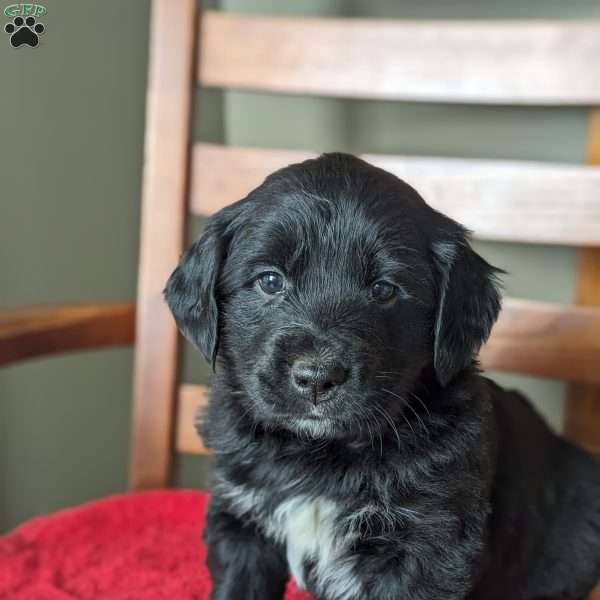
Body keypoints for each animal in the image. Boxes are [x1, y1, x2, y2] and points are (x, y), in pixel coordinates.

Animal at [164, 155, 600, 600]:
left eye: (384, 290)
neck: (320, 456)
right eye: (270, 280)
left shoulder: (429, 543)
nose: (317, 377)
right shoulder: (242, 516)